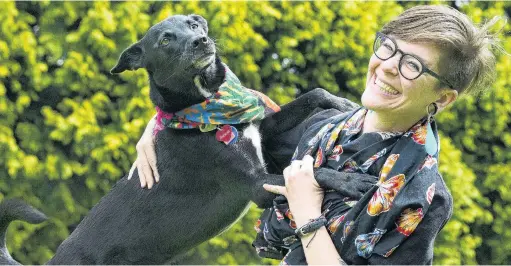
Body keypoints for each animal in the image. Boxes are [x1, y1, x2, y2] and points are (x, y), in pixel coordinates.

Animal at [1, 15, 368, 264]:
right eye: (165, 40)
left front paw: (347, 104)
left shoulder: (263, 130)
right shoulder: (255, 184)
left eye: (193, 25)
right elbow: (313, 172)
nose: (201, 41)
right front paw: (351, 181)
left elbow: (313, 94)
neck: (203, 106)